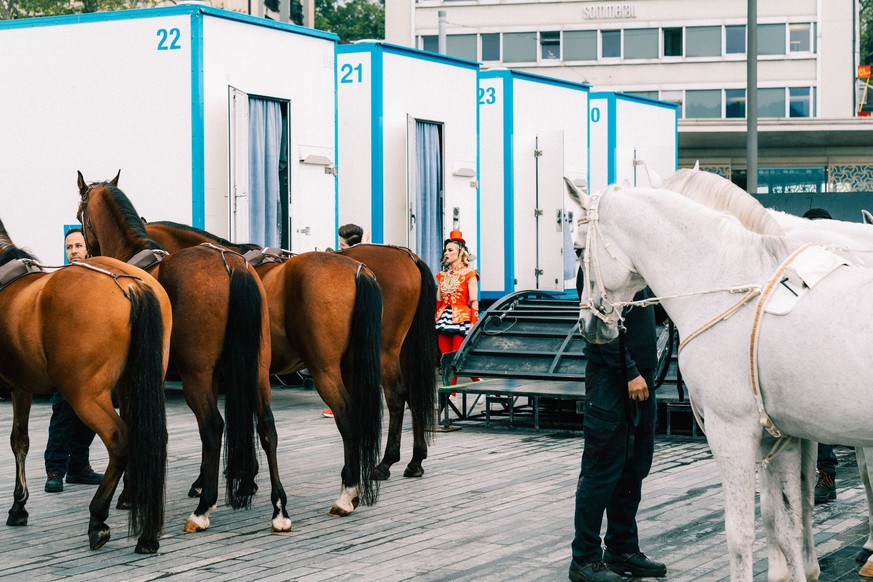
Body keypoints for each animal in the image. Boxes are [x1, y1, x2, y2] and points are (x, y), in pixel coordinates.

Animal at [0, 217, 171, 556]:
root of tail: (129, 284)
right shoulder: (21, 386)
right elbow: (21, 441)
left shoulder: (18, 387)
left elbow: (16, 441)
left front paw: (17, 507)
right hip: (135, 384)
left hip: (86, 395)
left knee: (120, 439)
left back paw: (98, 518)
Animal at [77, 173, 292, 532]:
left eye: (79, 214)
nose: (84, 253)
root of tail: (232, 264)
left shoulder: (130, 381)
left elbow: (135, 426)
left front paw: (129, 494)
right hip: (257, 370)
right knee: (266, 426)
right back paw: (279, 509)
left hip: (197, 376)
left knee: (213, 427)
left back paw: (203, 509)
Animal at [146, 222, 440, 480]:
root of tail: (408, 256)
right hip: (402, 351)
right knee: (414, 395)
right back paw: (415, 459)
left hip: (383, 352)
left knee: (396, 397)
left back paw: (385, 462)